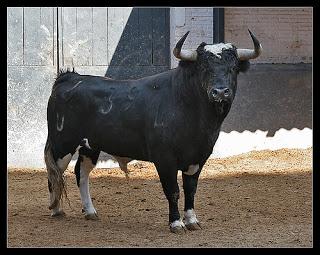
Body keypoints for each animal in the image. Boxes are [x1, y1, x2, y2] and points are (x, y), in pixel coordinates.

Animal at [43, 29, 262, 233]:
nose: (220, 92)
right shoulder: (165, 159)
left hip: (90, 146)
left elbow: (190, 190)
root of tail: (69, 77)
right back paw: (56, 209)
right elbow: (173, 190)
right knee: (55, 172)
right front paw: (176, 223)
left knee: (81, 172)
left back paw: (90, 211)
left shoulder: (198, 157)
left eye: (233, 68)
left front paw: (192, 220)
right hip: (62, 144)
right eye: (203, 68)